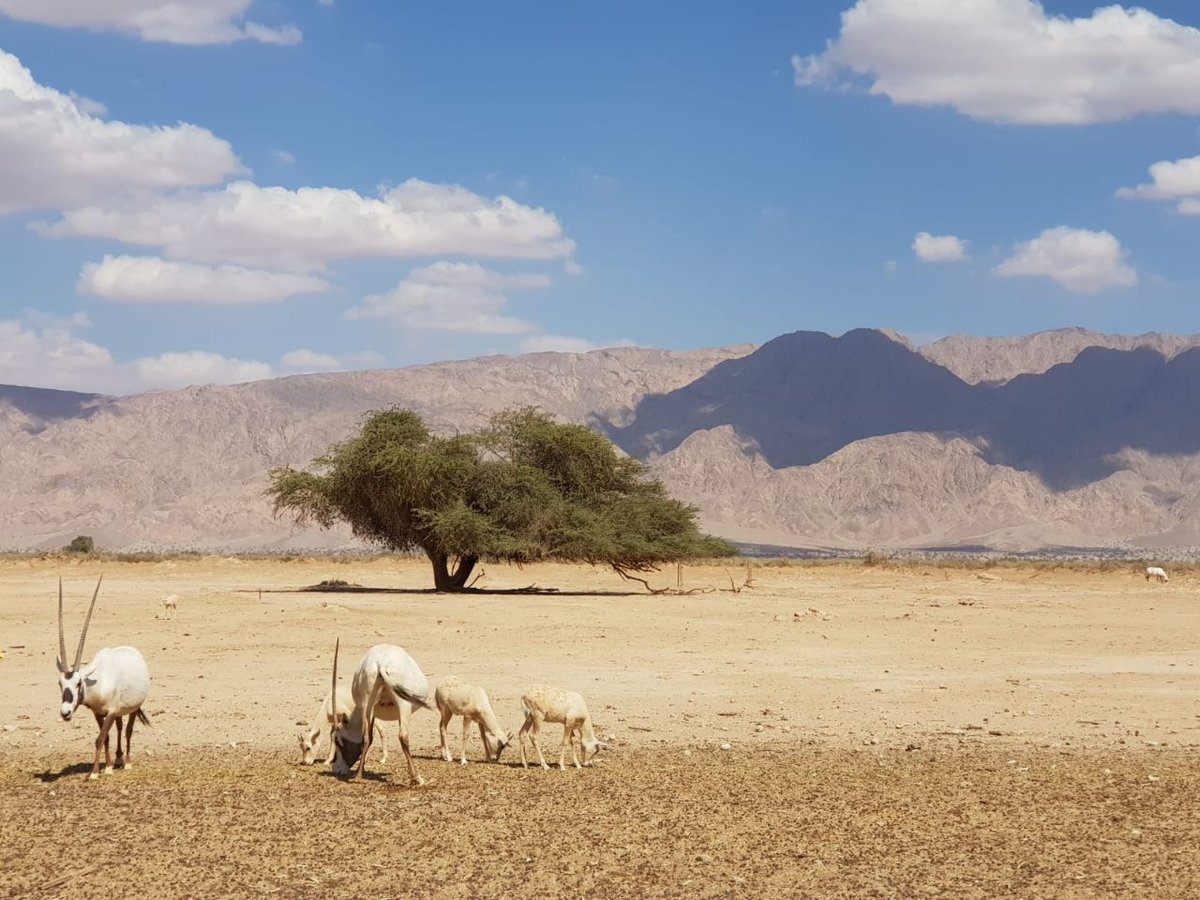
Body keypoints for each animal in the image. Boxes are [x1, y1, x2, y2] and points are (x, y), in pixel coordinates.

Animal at [55, 580, 152, 777]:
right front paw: (106, 767)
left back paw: (127, 762)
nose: (65, 712)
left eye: (78, 683)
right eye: (60, 683)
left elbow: (100, 739)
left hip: (133, 708)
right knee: (120, 727)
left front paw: (94, 773)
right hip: (119, 711)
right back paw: (118, 758)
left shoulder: (111, 712)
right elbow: (105, 738)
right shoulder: (99, 713)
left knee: (128, 730)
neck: (98, 682)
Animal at [328, 643, 432, 782]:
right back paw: (416, 777)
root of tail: (382, 664)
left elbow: (369, 738)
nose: (337, 768)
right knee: (403, 736)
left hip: (368, 703)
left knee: (366, 737)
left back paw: (358, 776)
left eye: (338, 740)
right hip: (403, 704)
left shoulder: (372, 712)